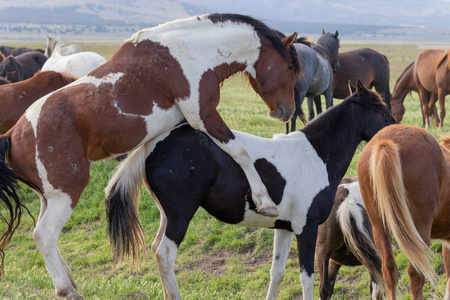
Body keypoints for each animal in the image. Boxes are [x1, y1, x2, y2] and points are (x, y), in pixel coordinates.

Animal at [0, 13, 302, 298]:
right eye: (289, 67)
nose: (286, 111)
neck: (192, 51)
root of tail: (13, 135)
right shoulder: (202, 115)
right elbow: (240, 151)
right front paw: (265, 202)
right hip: (66, 194)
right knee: (43, 235)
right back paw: (67, 290)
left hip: (48, 197)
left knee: (45, 233)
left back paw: (70, 280)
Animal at [104, 79, 394, 300]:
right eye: (383, 112)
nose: (394, 132)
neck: (315, 155)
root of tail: (155, 144)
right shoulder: (307, 229)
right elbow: (307, 278)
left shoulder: (285, 229)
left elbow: (276, 273)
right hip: (180, 217)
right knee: (165, 254)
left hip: (167, 215)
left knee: (156, 250)